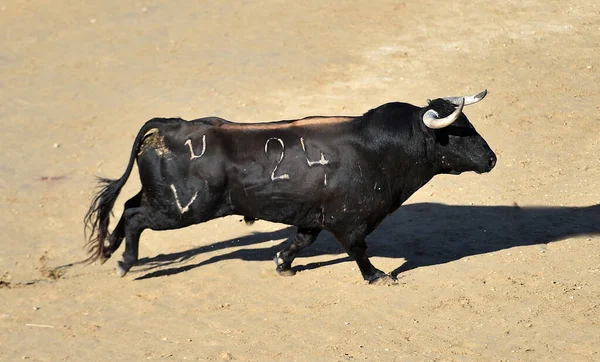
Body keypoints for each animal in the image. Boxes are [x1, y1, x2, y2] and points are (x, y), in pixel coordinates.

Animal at [84, 90, 496, 282]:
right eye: (457, 133)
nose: (492, 160)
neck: (379, 150)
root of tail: (171, 125)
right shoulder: (350, 221)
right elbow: (358, 250)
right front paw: (377, 276)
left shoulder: (313, 216)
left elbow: (300, 241)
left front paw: (282, 264)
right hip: (182, 208)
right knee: (136, 217)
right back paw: (123, 263)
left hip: (162, 197)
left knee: (128, 207)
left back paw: (109, 250)